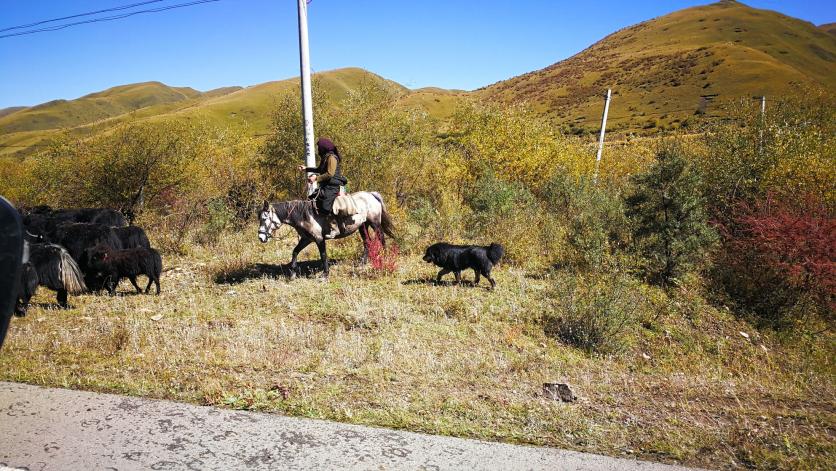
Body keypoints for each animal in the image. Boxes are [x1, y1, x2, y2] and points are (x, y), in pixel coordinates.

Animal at [258, 192, 396, 278]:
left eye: (264, 218)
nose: (261, 237)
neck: (303, 215)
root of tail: (371, 194)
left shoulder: (319, 239)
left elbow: (323, 255)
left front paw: (325, 274)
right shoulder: (306, 239)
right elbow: (295, 251)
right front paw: (292, 273)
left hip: (375, 223)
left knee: (381, 238)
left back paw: (385, 257)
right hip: (363, 226)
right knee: (367, 241)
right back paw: (362, 262)